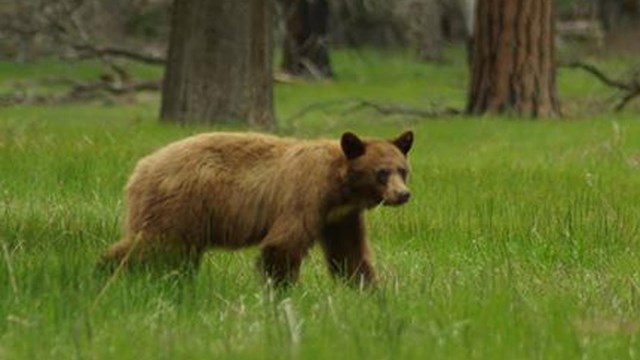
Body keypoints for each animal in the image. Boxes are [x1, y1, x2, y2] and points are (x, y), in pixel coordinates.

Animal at [97, 130, 412, 286]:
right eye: (382, 172)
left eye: (403, 170)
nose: (403, 194)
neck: (340, 185)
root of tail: (140, 169)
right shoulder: (306, 194)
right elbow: (282, 245)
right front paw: (281, 293)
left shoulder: (341, 216)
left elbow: (349, 255)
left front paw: (369, 292)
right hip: (179, 204)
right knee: (154, 244)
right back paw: (102, 271)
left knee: (178, 254)